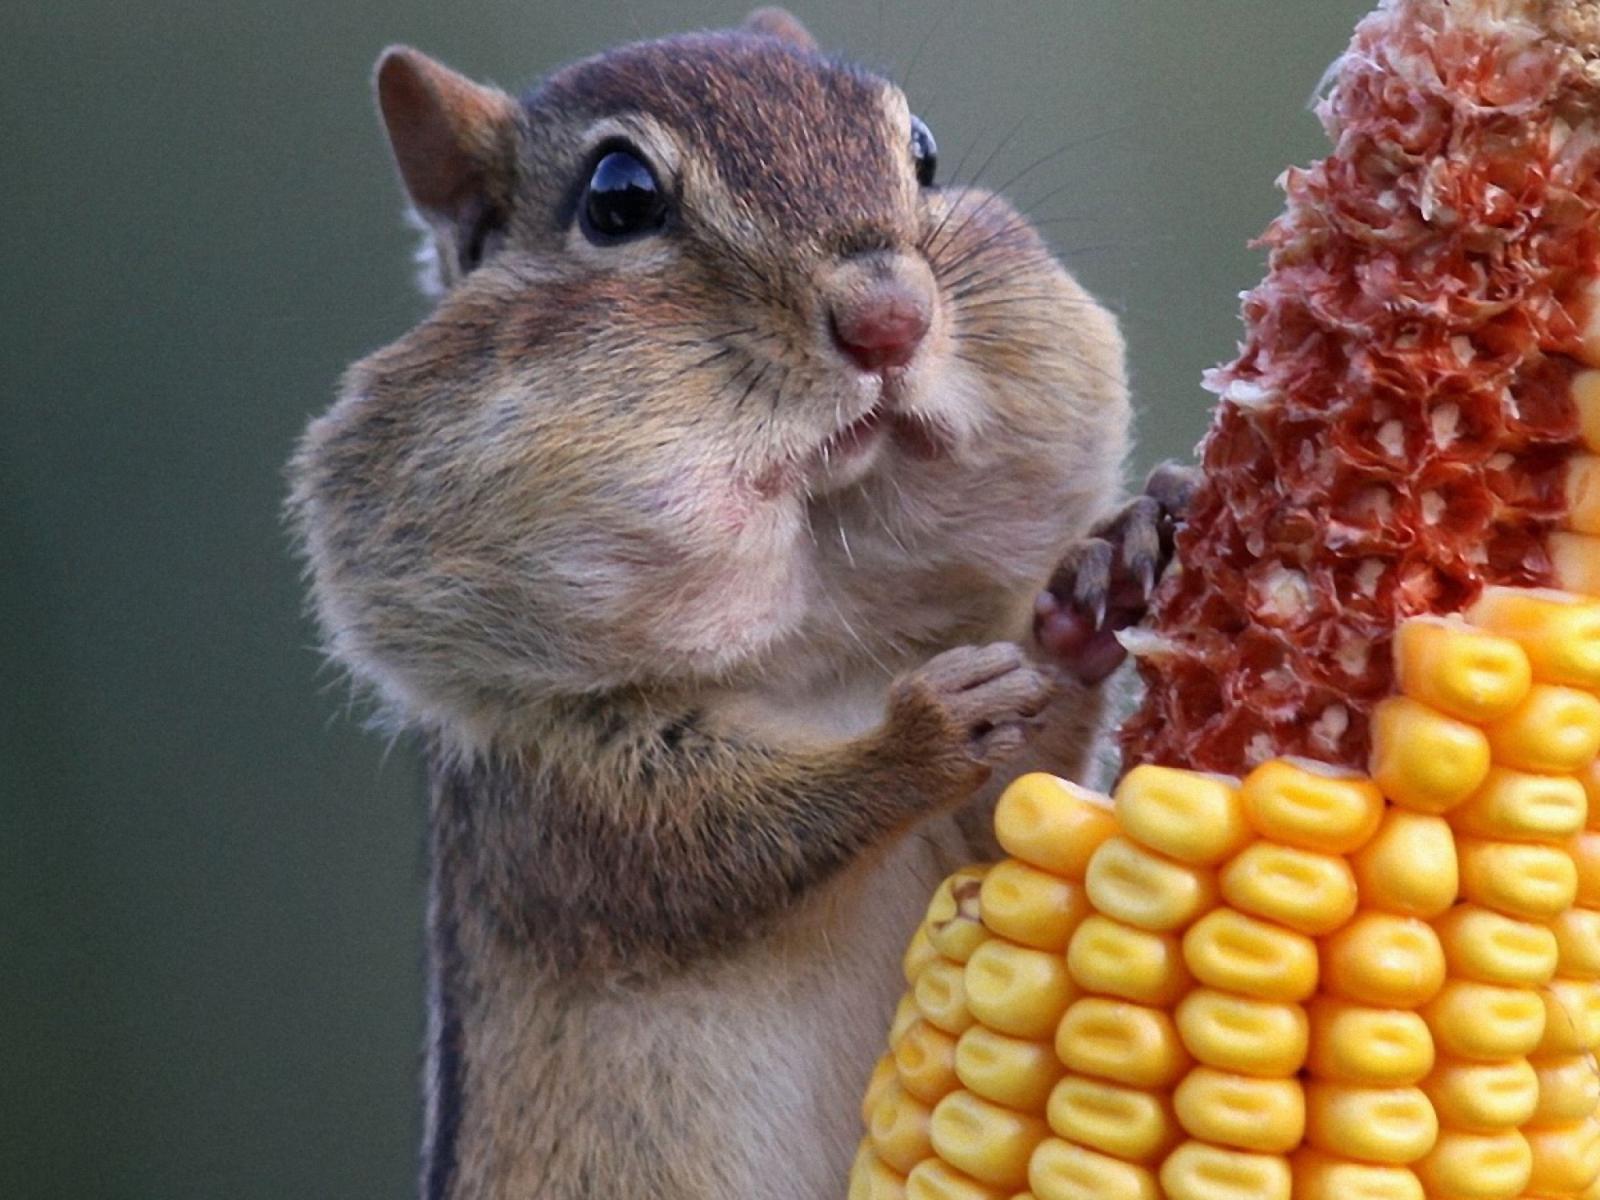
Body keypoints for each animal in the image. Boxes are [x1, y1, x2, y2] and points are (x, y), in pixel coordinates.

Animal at [288, 9, 1190, 1199]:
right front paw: (919, 735)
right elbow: (706, 851)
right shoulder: (548, 797)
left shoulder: (975, 849)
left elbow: (1016, 825)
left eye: (923, 153)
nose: (891, 319)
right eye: (618, 199)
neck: (820, 651)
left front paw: (1104, 574)